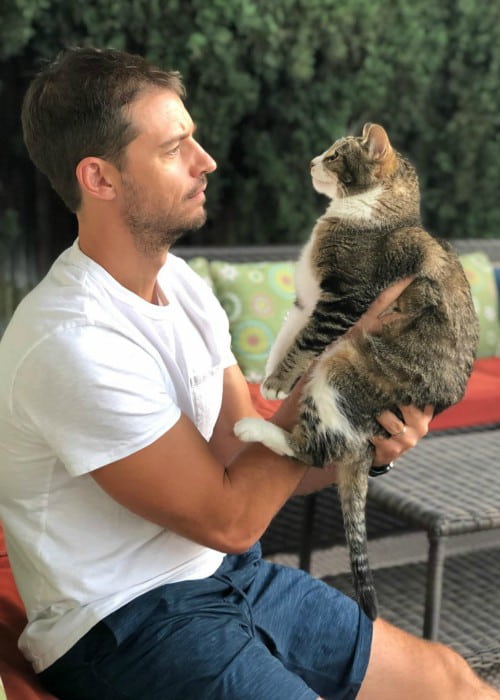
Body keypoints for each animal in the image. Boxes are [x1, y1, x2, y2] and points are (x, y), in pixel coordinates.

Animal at [236, 124, 478, 616]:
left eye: (334, 155)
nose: (311, 161)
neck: (374, 214)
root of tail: (365, 442)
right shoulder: (308, 298)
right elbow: (287, 334)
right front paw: (269, 380)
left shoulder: (343, 301)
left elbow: (304, 342)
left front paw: (276, 385)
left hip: (340, 369)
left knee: (312, 450)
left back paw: (253, 428)